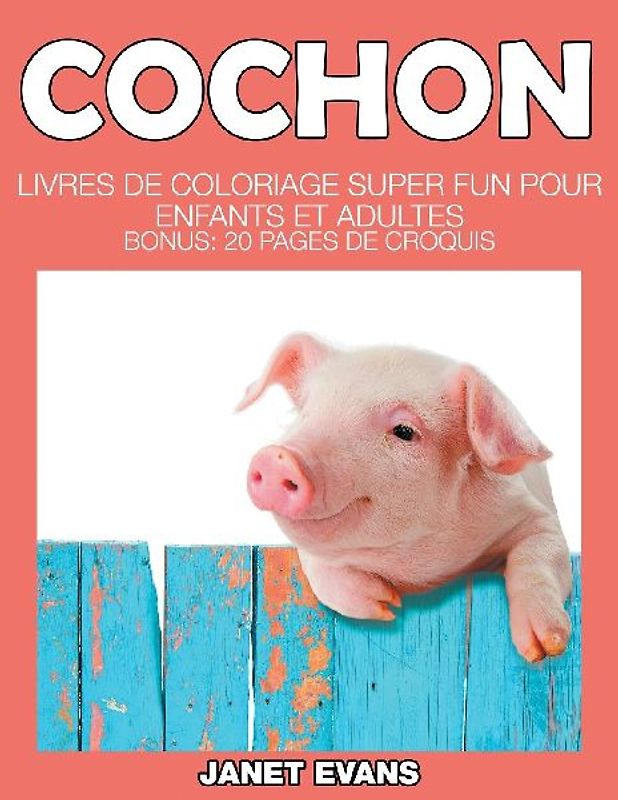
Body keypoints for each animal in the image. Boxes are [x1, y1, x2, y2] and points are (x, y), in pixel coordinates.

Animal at [238, 333, 572, 662]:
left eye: (404, 431)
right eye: (305, 412)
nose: (277, 457)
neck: (421, 571)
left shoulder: (533, 514)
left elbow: (537, 556)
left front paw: (547, 646)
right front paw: (386, 605)